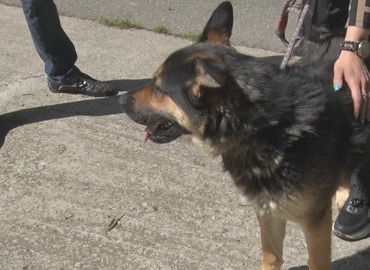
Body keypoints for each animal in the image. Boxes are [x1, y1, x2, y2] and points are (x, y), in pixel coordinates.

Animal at [120, 1, 370, 268]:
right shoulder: (268, 210)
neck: (267, 128)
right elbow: (271, 256)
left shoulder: (314, 222)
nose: (122, 101)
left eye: (159, 88)